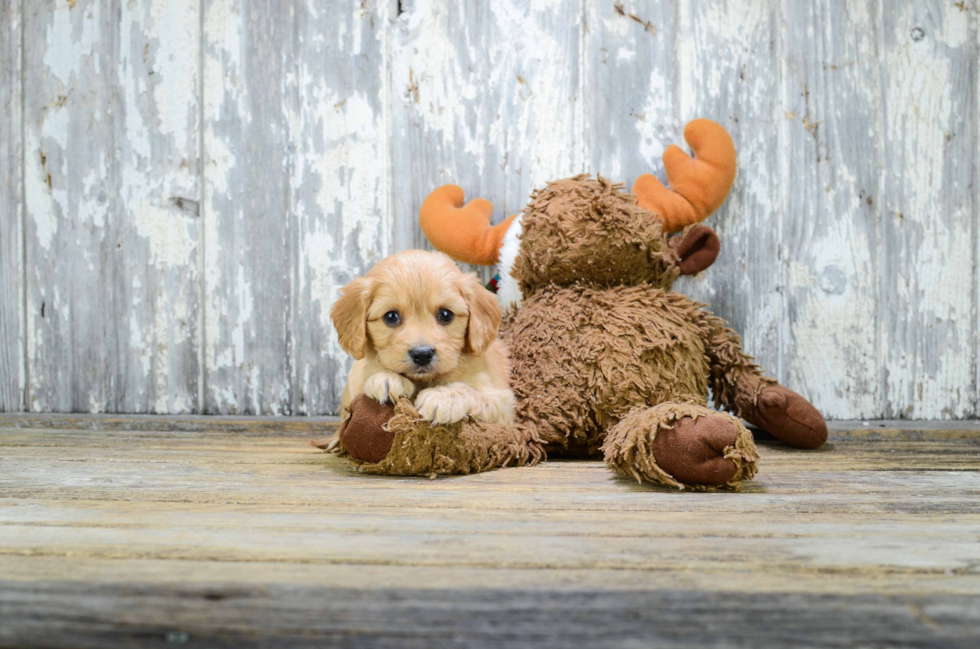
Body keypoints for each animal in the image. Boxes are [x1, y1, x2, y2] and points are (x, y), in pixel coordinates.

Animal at [330, 251, 512, 428]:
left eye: (446, 314)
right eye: (391, 316)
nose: (422, 354)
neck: (424, 380)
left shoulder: (502, 405)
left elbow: (471, 391)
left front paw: (443, 397)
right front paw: (387, 378)